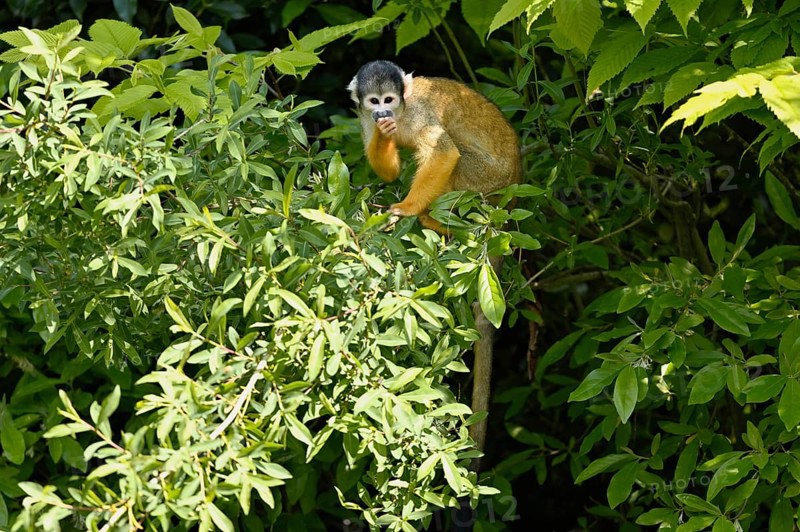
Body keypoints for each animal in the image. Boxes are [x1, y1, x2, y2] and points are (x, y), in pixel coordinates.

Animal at [348, 60, 522, 466]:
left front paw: (408, 209)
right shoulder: (363, 118)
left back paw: (432, 219)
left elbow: (444, 154)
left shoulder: (423, 115)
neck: (403, 113)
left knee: (455, 158)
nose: (382, 113)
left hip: (489, 184)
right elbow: (389, 170)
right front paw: (384, 140)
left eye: (390, 100)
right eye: (374, 102)